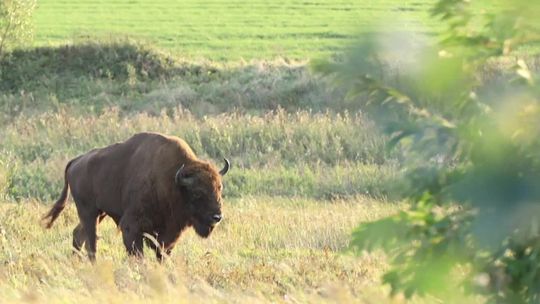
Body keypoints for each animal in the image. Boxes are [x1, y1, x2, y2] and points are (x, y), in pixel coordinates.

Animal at [41, 132, 228, 262]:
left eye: (219, 189)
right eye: (198, 192)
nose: (217, 217)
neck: (172, 181)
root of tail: (76, 161)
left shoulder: (168, 235)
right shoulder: (131, 227)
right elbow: (137, 254)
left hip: (99, 213)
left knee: (79, 234)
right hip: (88, 212)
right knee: (91, 241)